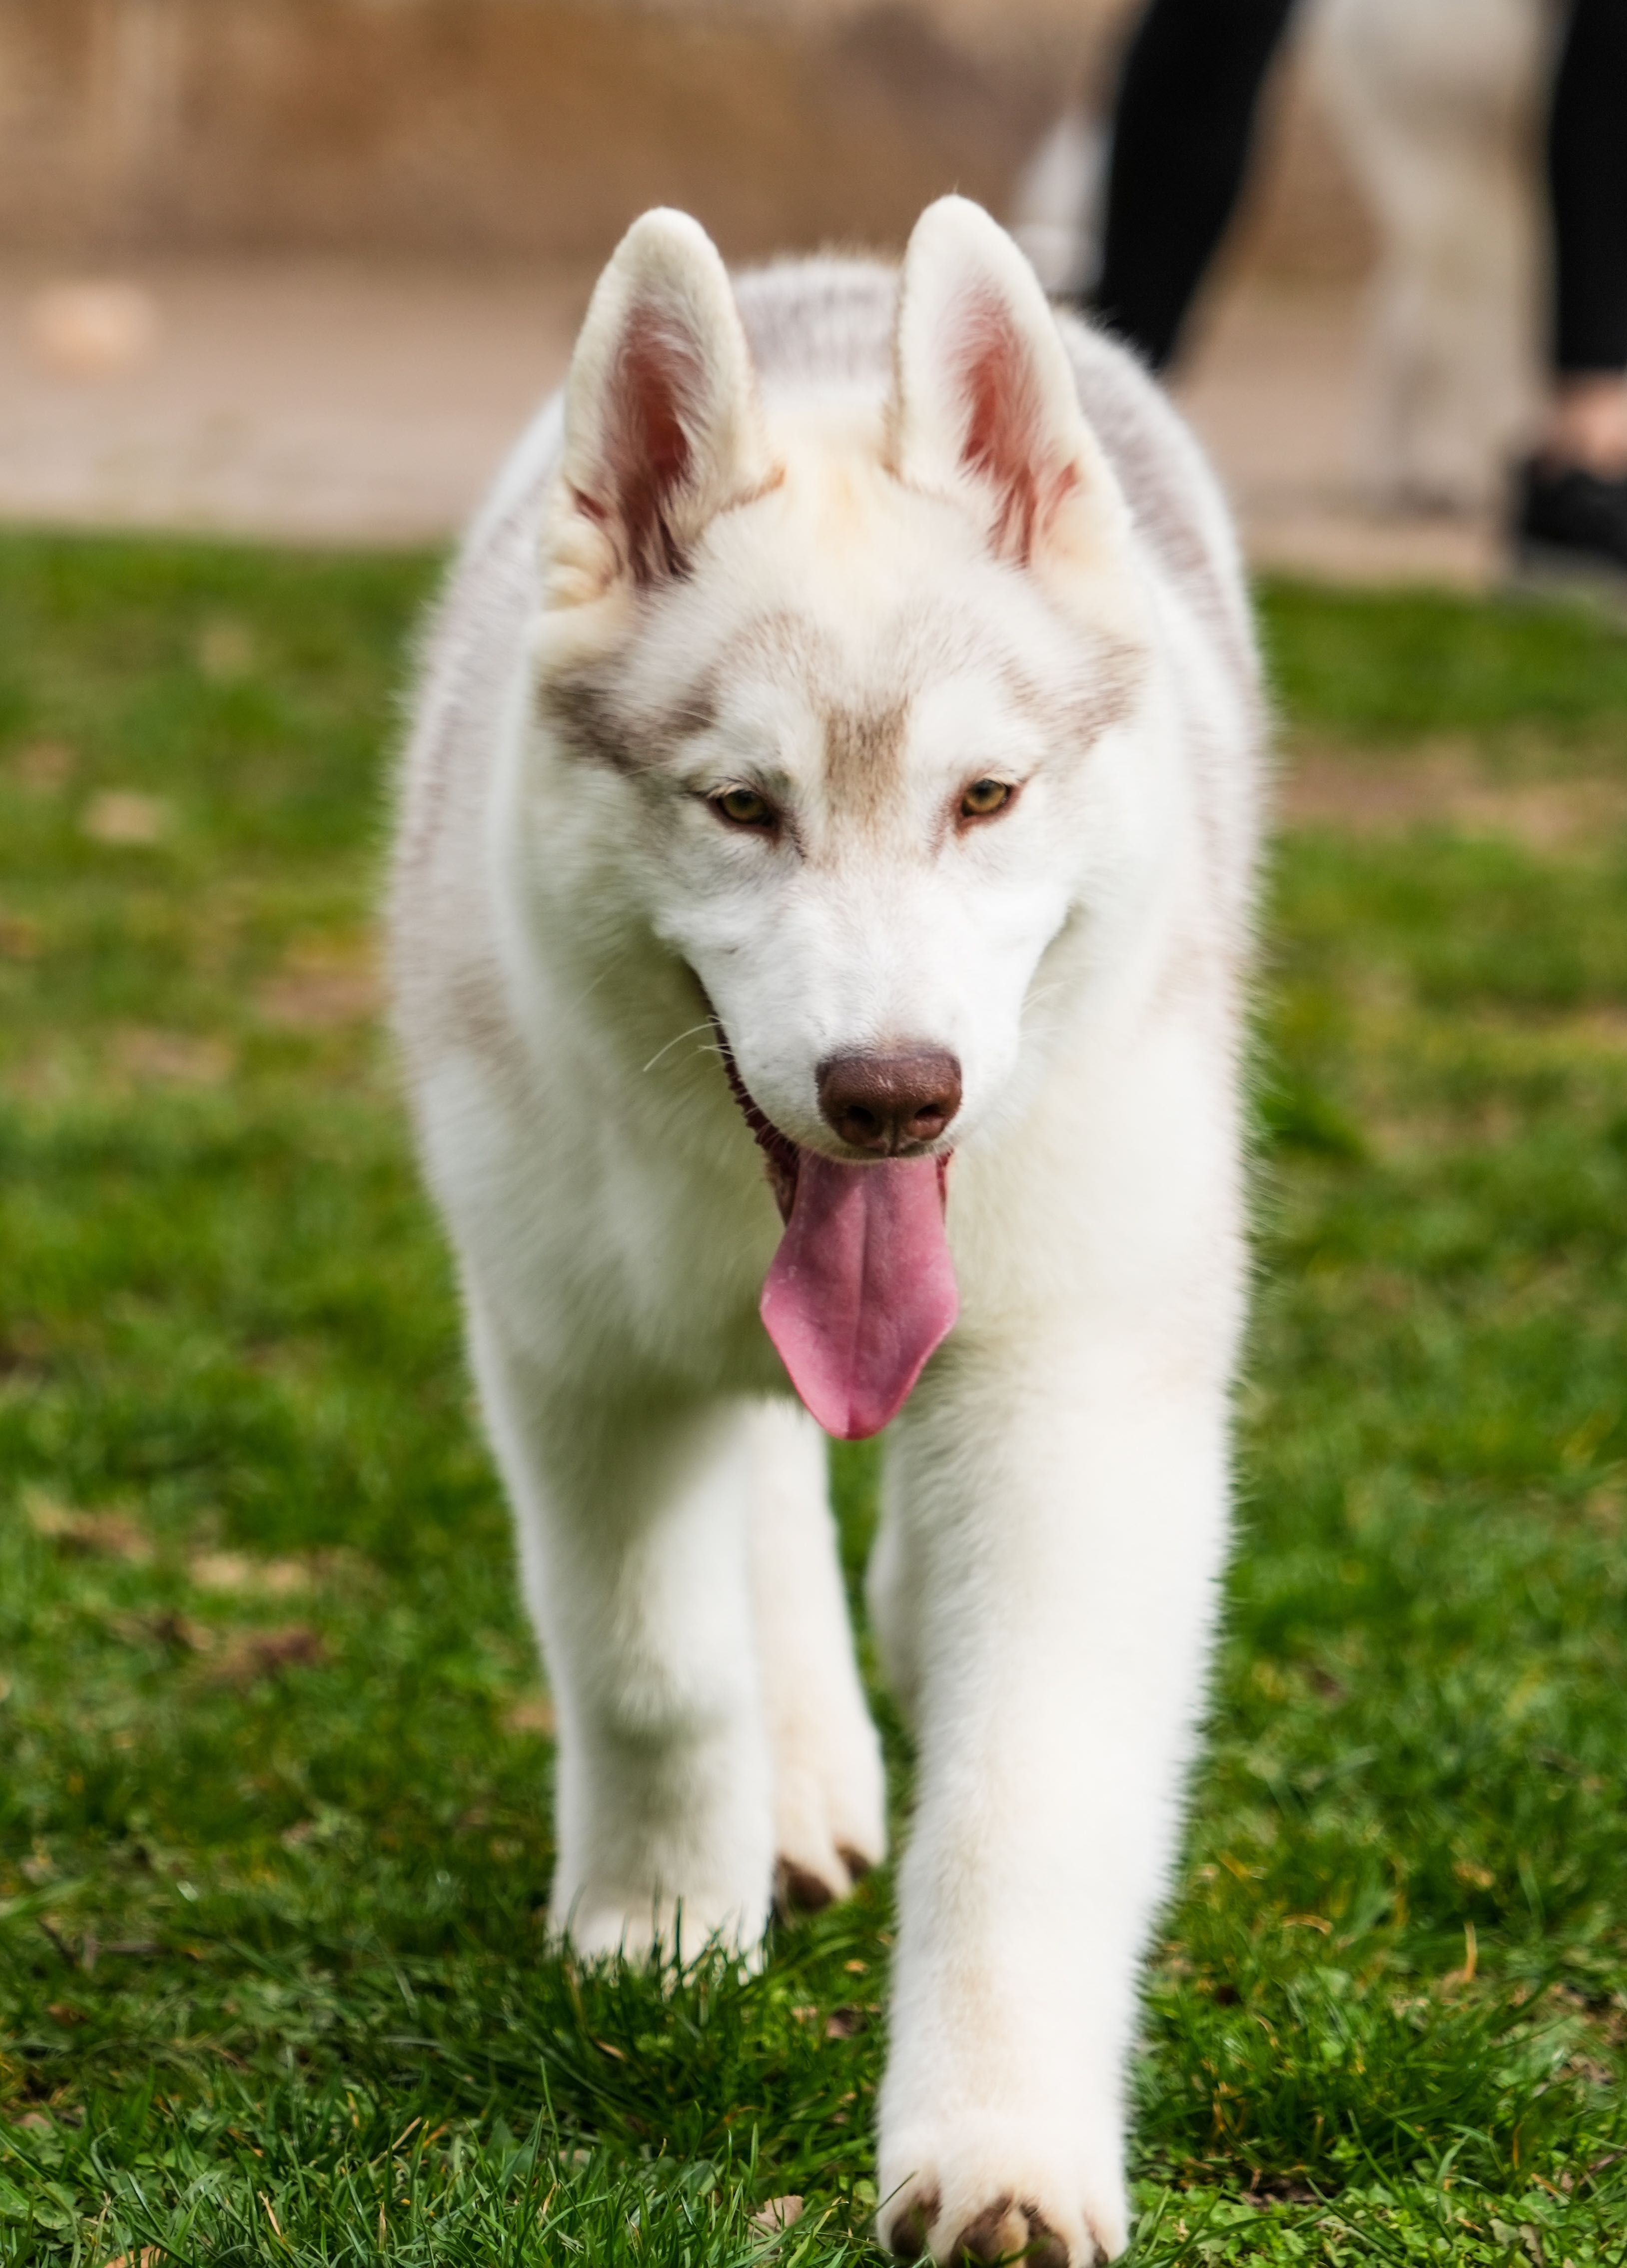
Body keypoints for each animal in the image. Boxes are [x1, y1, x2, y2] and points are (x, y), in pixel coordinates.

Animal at [390, 199, 1252, 2268]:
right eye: (742, 807)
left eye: (986, 797)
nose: (890, 1094)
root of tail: (838, 273)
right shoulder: (571, 1352)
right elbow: (648, 1659)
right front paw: (658, 1920)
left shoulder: (1081, 1387)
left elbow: (1030, 1790)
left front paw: (1001, 2148)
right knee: (761, 1481)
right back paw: (797, 1772)